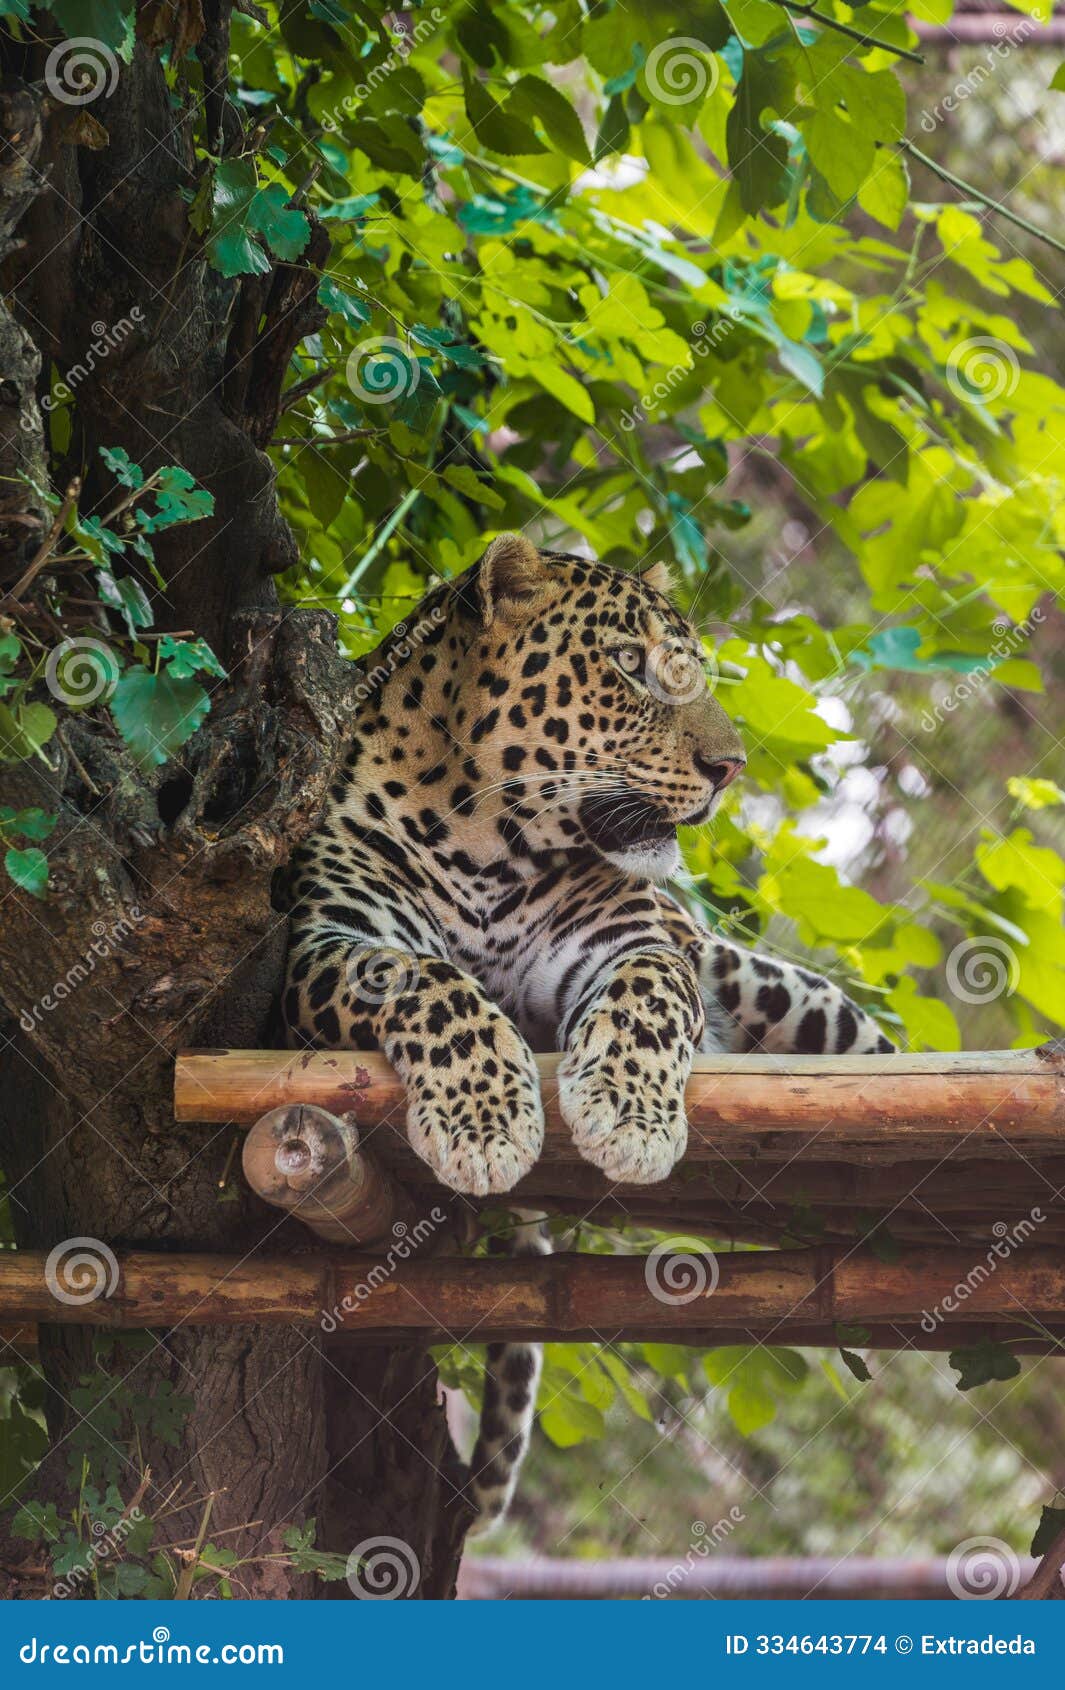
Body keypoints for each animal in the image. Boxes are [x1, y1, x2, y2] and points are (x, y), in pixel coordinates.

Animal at [278, 537, 899, 1534]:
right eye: (627, 664)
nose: (729, 768)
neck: (481, 844)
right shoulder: (325, 941)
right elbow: (434, 984)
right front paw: (485, 1126)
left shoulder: (638, 944)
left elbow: (648, 999)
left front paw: (628, 1118)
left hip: (790, 997)